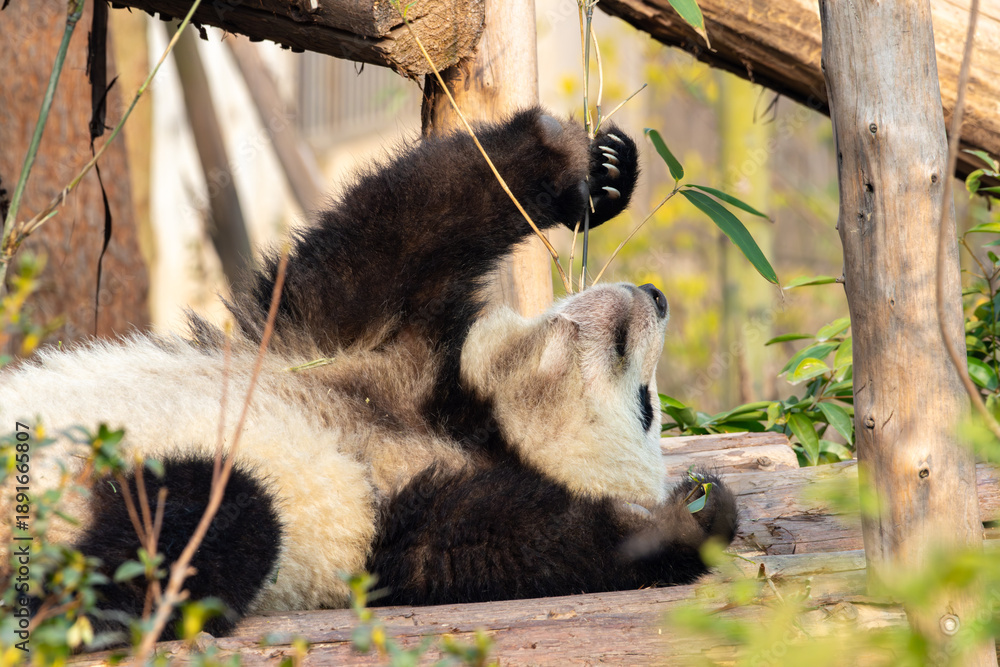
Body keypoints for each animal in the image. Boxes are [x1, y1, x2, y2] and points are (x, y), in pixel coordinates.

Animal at [0, 108, 737, 640]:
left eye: (644, 405)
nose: (656, 296)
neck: (465, 420)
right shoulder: (357, 344)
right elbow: (400, 229)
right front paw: (596, 167)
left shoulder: (398, 515)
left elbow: (504, 550)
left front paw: (695, 513)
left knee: (210, 513)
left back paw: (74, 610)